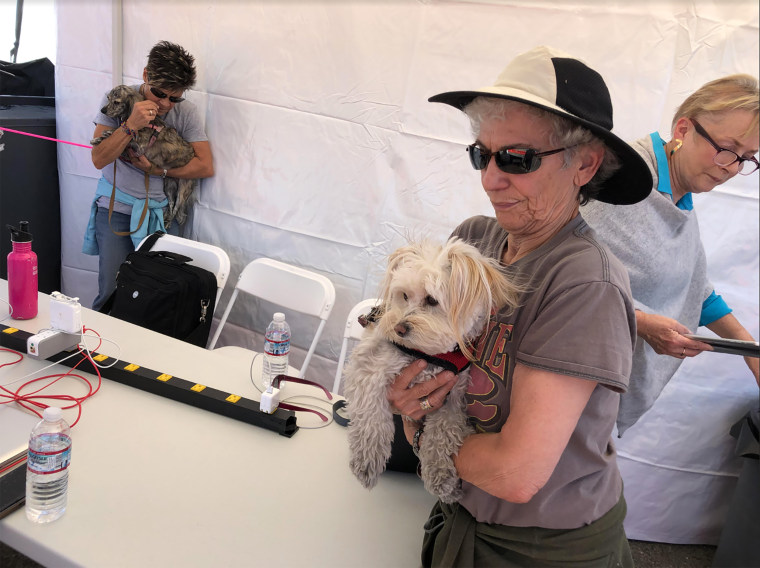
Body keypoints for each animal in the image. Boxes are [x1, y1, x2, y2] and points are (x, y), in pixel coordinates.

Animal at [90, 84, 197, 229]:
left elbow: (125, 137)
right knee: (171, 204)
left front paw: (108, 133)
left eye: (116, 102)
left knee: (176, 208)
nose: (102, 110)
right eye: (108, 98)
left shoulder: (139, 146)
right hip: (169, 186)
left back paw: (168, 222)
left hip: (183, 189)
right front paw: (99, 138)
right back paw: (166, 218)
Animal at [346, 237, 520, 504]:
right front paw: (367, 461)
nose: (399, 328)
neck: (432, 355)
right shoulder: (368, 367)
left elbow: (441, 435)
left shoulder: (453, 398)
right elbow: (371, 418)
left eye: (431, 300)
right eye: (404, 295)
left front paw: (442, 480)